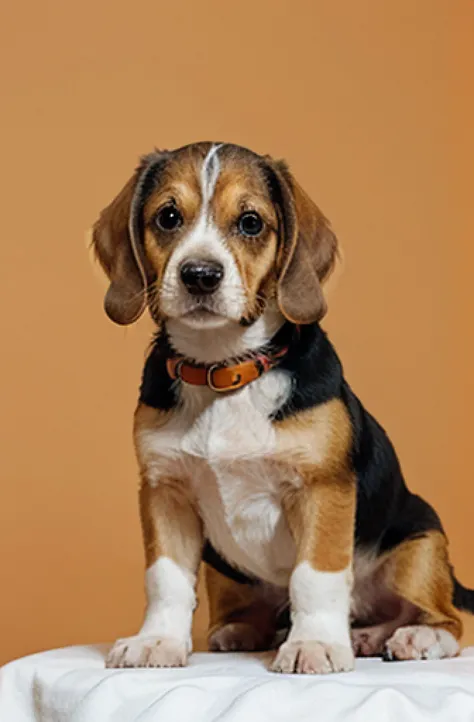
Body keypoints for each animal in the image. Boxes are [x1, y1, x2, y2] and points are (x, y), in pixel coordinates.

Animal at [92, 141, 474, 668]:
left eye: (251, 222)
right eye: (168, 217)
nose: (200, 276)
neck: (224, 371)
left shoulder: (321, 488)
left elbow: (314, 577)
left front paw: (314, 643)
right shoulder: (164, 491)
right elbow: (165, 579)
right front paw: (158, 640)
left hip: (418, 548)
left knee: (445, 617)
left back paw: (411, 637)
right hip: (224, 569)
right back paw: (258, 630)